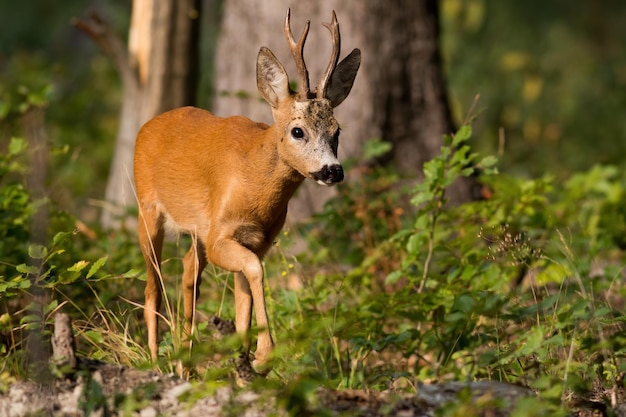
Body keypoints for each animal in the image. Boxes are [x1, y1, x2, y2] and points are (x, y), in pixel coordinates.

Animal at [134, 8, 358, 368]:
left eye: (337, 131)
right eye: (298, 131)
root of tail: (147, 125)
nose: (333, 170)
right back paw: (156, 360)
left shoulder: (257, 240)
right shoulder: (221, 236)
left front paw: (246, 360)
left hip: (196, 232)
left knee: (187, 272)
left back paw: (186, 359)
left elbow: (243, 301)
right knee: (152, 286)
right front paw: (264, 355)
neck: (255, 188)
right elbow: (255, 270)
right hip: (147, 209)